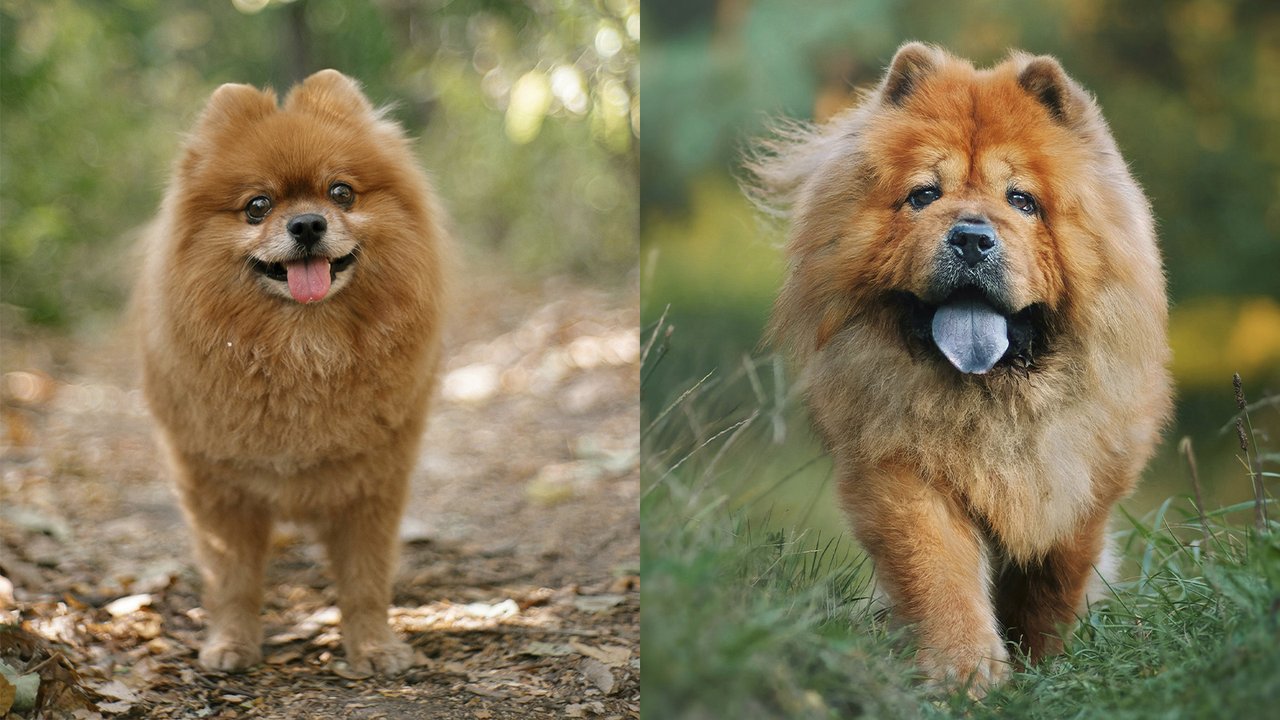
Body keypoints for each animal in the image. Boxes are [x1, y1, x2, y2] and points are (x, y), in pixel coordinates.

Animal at [747, 41, 1172, 691]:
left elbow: (1053, 579)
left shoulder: (1086, 480)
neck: (991, 398)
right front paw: (964, 672)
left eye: (1021, 200)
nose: (971, 237)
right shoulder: (901, 469)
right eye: (924, 194)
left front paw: (1043, 663)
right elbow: (939, 573)